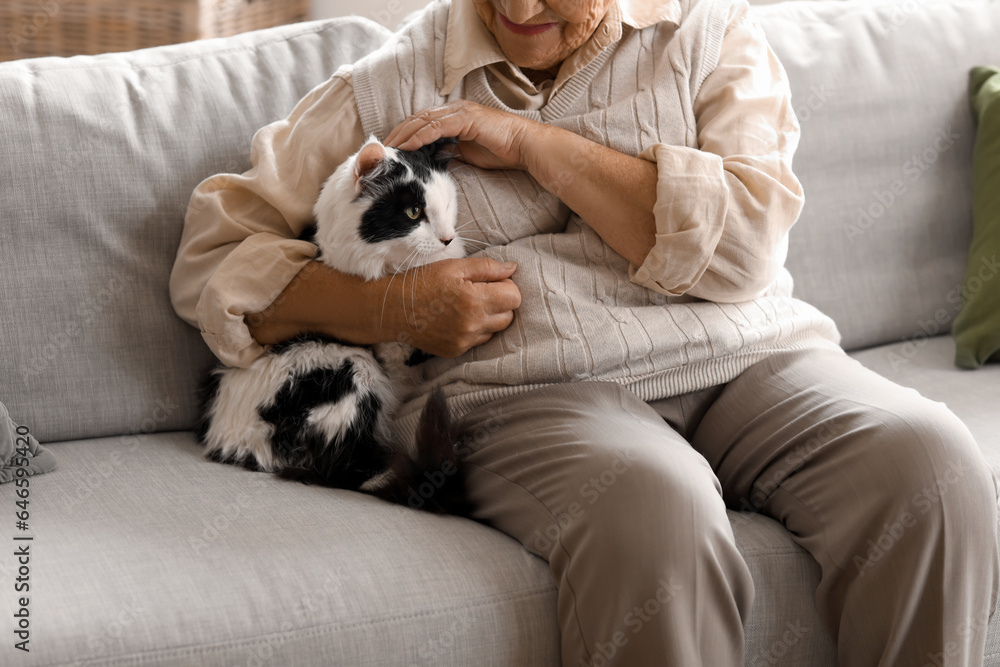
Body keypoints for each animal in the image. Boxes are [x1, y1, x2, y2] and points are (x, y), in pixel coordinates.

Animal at [199, 133, 472, 516]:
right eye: (413, 213)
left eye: (447, 206)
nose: (447, 238)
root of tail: (228, 440)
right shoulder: (387, 348)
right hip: (347, 367)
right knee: (343, 467)